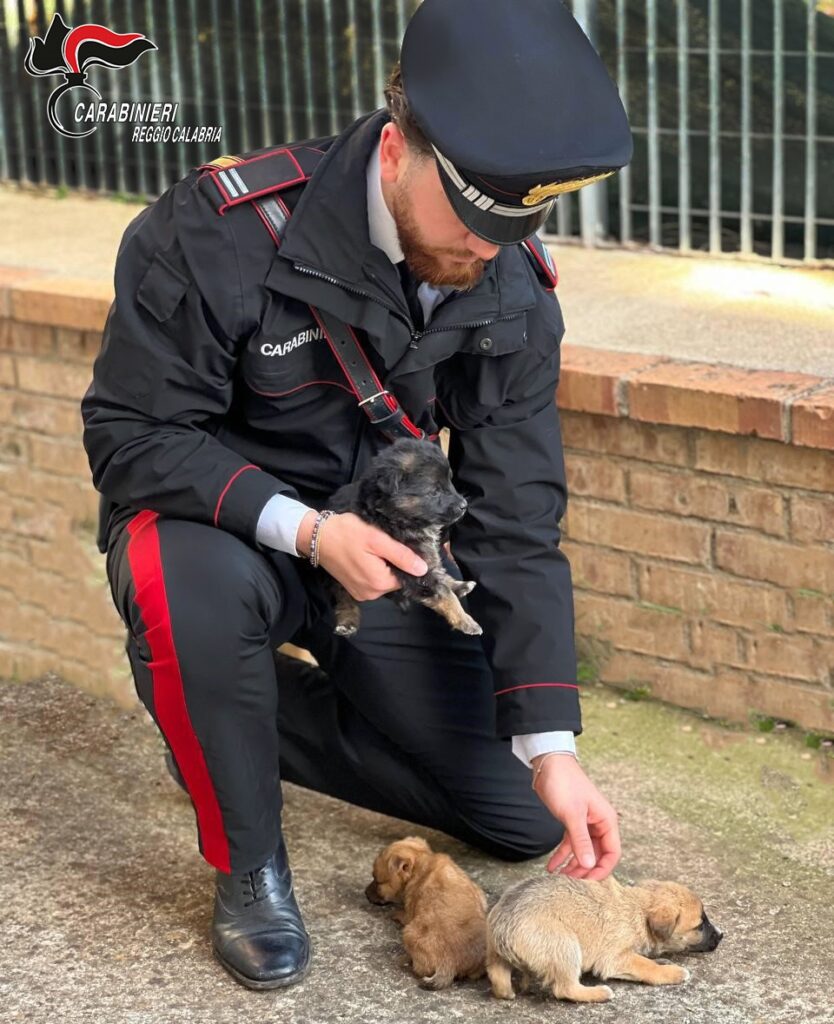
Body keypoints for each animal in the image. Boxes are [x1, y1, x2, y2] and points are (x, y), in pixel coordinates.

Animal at [325, 438, 483, 634]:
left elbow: (442, 577)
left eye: (450, 482)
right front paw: (466, 621)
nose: (464, 505)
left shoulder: (426, 557)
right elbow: (443, 593)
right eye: (434, 492)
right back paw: (348, 621)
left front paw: (458, 590)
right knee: (342, 593)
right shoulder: (415, 567)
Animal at [364, 835, 489, 987]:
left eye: (377, 881)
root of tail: (449, 965)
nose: (365, 893)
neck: (422, 862)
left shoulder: (409, 910)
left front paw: (395, 913)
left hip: (409, 933)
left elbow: (402, 913)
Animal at [485, 872, 721, 999]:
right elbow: (646, 965)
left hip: (497, 957)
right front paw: (670, 972)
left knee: (499, 978)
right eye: (700, 925)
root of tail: (502, 929)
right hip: (564, 943)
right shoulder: (613, 958)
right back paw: (598, 993)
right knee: (564, 988)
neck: (638, 910)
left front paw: (662, 961)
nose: (721, 936)